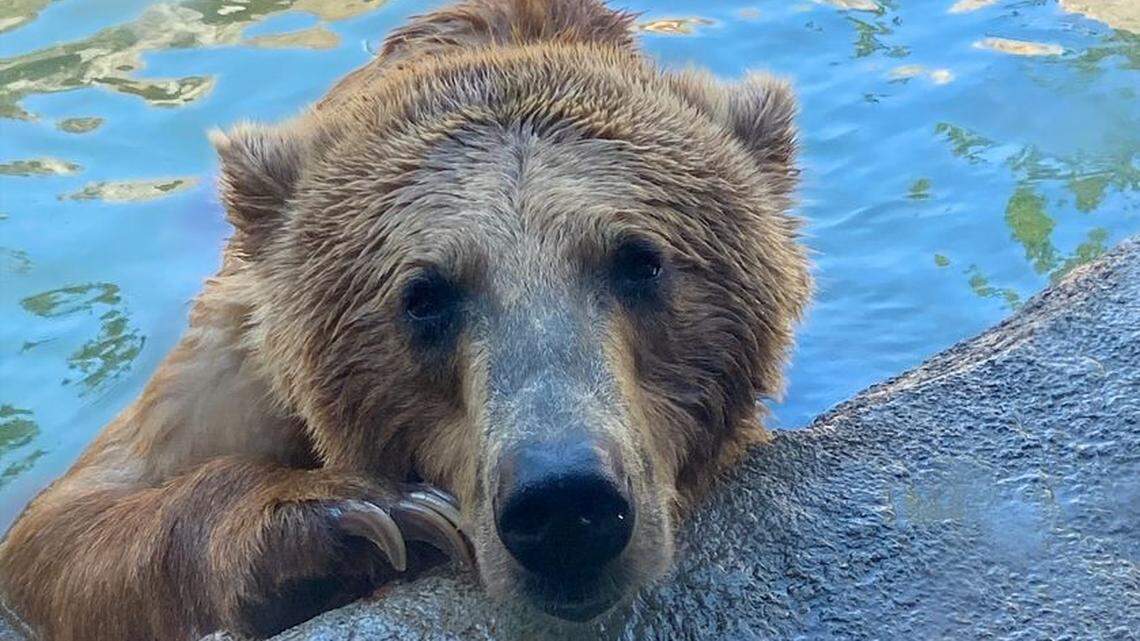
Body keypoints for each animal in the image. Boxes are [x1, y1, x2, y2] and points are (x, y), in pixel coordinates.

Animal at [0, 1, 811, 639]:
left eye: (640, 260)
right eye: (423, 294)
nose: (564, 501)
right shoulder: (240, 355)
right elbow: (66, 525)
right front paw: (364, 515)